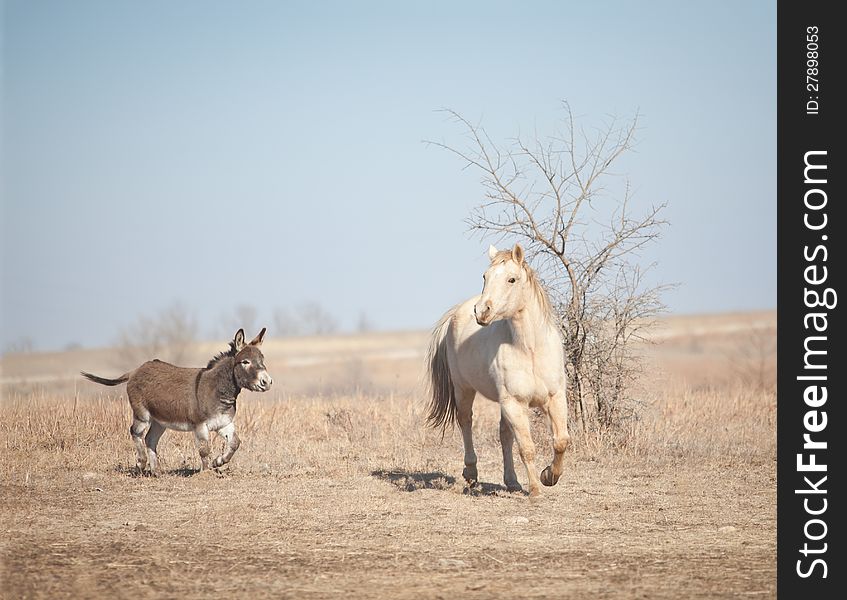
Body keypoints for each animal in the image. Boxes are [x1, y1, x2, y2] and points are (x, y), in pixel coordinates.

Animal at [81, 328, 270, 474]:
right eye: (245, 362)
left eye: (262, 360)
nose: (267, 382)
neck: (218, 390)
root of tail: (136, 370)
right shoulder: (200, 425)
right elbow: (204, 450)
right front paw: (206, 473)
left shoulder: (223, 423)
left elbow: (235, 443)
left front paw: (219, 462)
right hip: (142, 415)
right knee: (135, 432)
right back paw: (141, 463)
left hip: (159, 421)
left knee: (150, 439)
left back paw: (156, 472)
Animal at [424, 244, 568, 496]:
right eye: (485, 276)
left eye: (512, 279)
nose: (482, 311)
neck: (530, 348)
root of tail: (457, 312)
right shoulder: (515, 403)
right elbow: (527, 447)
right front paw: (535, 490)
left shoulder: (555, 397)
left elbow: (561, 441)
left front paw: (548, 476)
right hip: (464, 389)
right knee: (466, 422)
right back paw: (471, 473)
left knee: (504, 435)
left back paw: (512, 481)